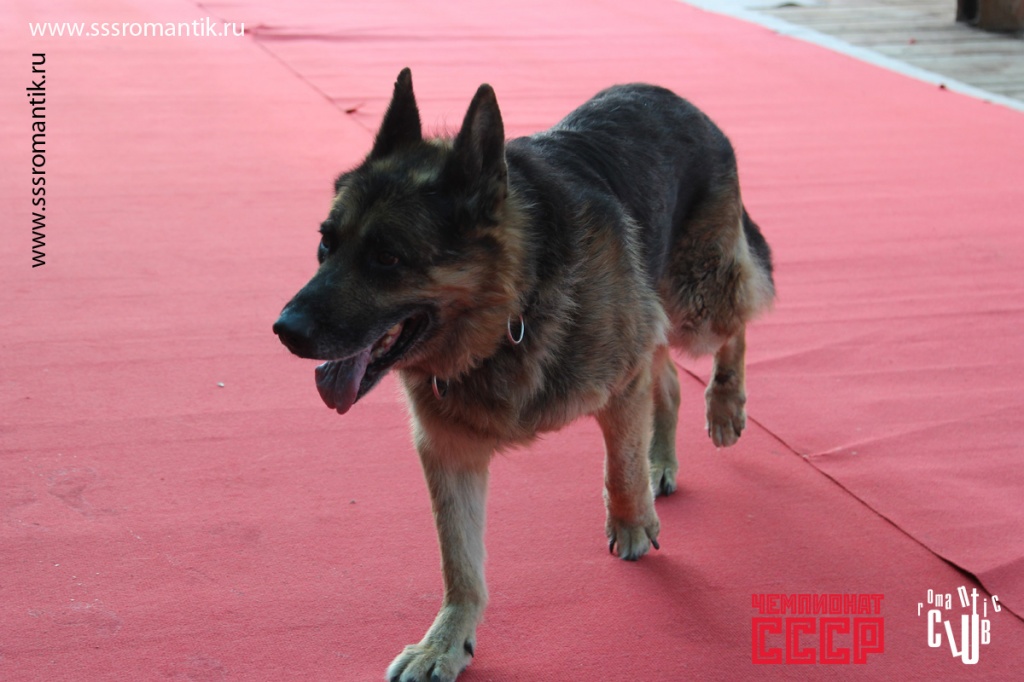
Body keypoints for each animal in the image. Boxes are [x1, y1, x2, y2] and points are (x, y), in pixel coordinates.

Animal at [273, 68, 774, 682]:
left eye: (388, 259)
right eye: (326, 243)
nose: (284, 329)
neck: (513, 307)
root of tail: (672, 96)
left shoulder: (620, 381)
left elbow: (620, 464)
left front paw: (632, 523)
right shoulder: (448, 451)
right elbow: (459, 562)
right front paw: (447, 641)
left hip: (693, 303)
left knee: (738, 318)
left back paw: (725, 406)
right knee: (671, 382)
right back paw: (664, 458)